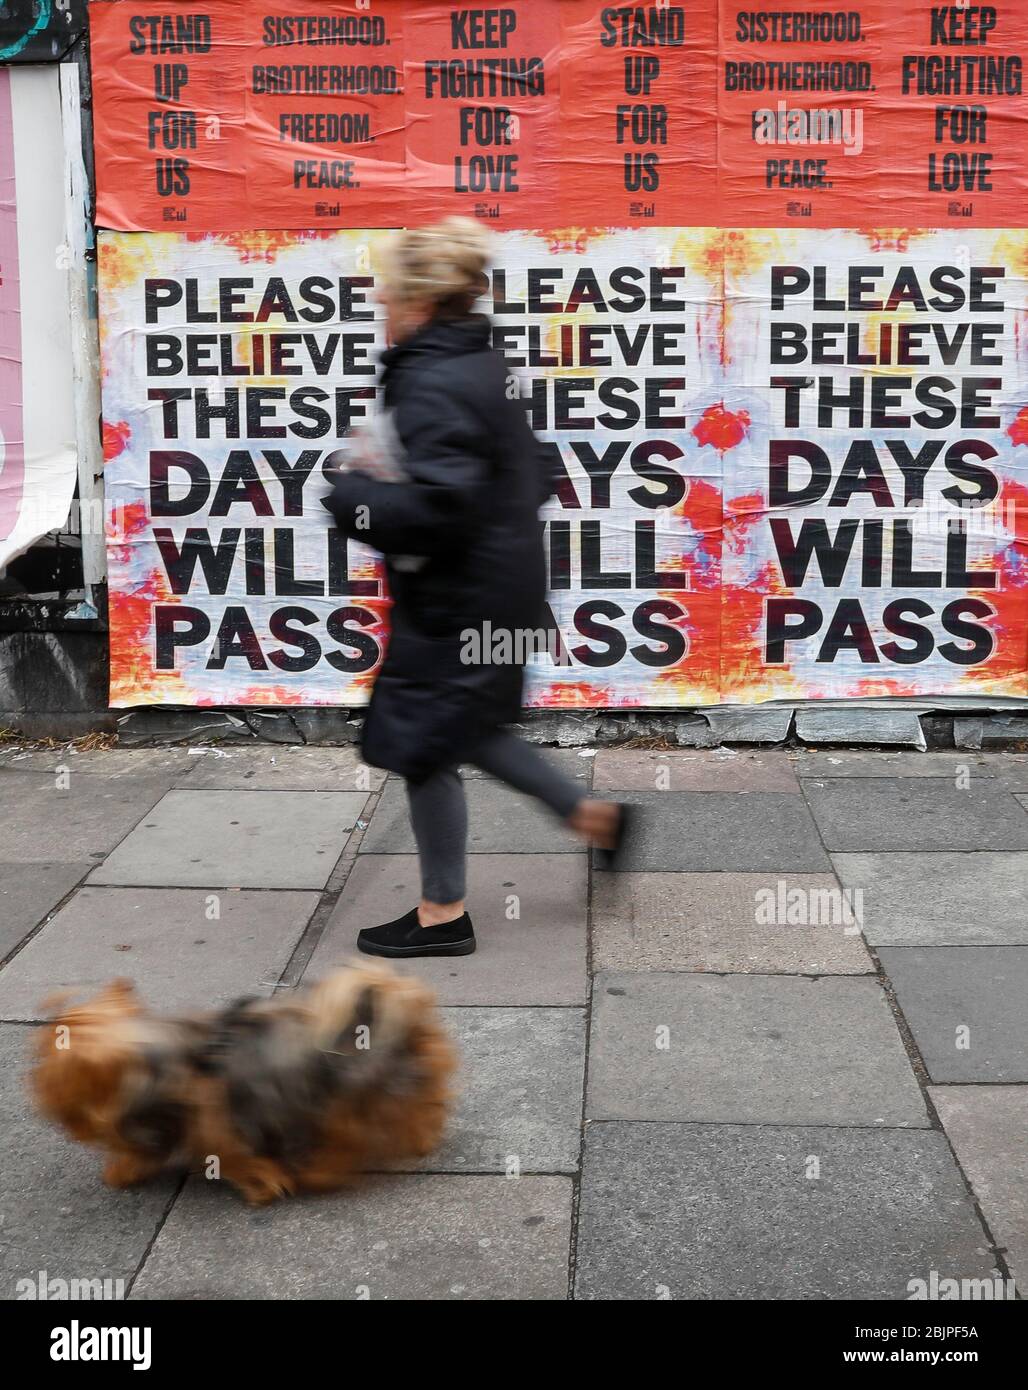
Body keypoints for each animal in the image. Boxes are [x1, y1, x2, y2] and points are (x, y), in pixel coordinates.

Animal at [32, 961, 452, 1200]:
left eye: (53, 1074)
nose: (35, 1086)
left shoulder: (217, 1132)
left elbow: (238, 1162)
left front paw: (264, 1186)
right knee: (425, 1110)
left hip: (348, 1109)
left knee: (344, 1148)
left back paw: (316, 1172)